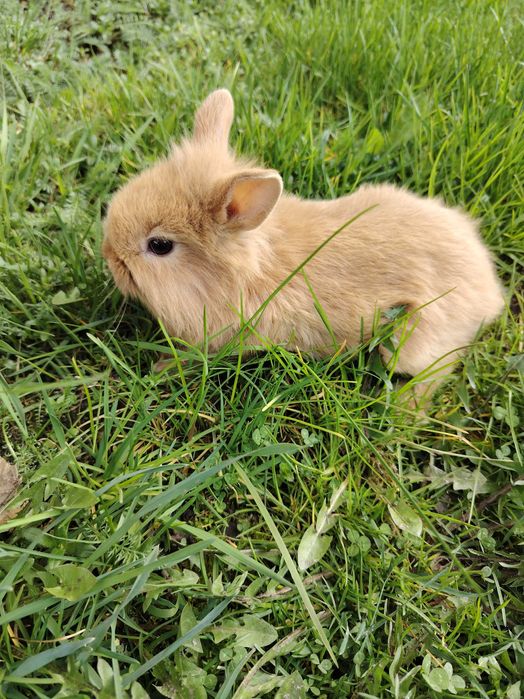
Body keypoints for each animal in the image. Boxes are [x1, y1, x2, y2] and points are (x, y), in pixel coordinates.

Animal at [102, 89, 505, 402]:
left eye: (159, 245)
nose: (110, 256)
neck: (244, 273)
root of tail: (490, 291)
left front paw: (159, 367)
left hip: (410, 342)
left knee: (438, 368)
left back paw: (406, 409)